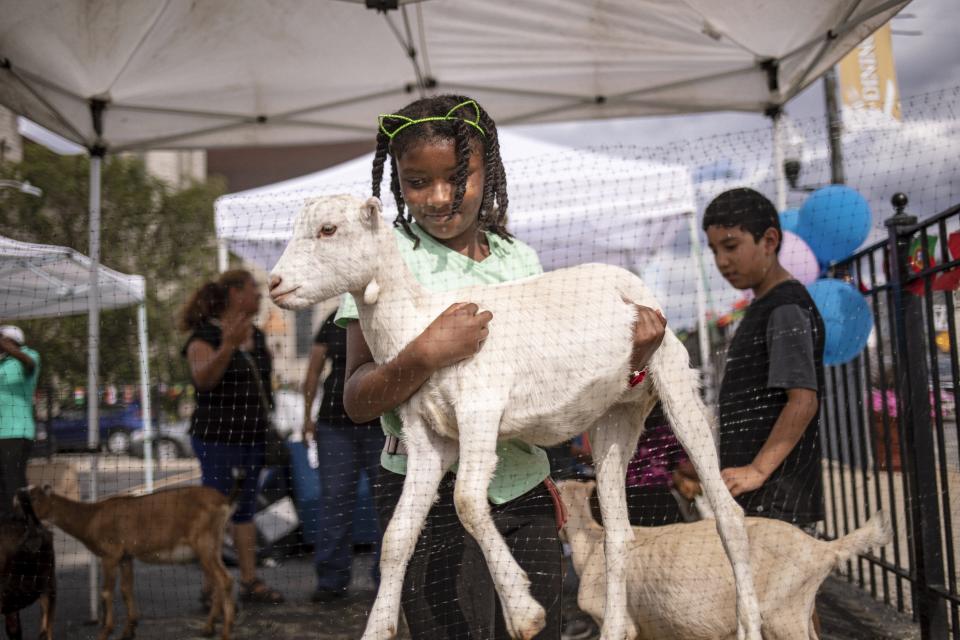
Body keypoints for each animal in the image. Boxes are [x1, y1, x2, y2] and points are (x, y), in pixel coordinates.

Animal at [26, 482, 238, 640]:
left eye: (35, 498)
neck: (91, 520)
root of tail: (225, 502)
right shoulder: (126, 556)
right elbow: (126, 589)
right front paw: (129, 630)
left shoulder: (110, 553)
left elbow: (106, 592)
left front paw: (105, 632)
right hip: (213, 546)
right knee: (219, 581)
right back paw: (208, 628)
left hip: (204, 543)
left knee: (225, 579)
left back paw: (225, 632)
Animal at [266, 195, 760, 640]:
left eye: (328, 229)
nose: (274, 283)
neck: (417, 320)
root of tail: (628, 280)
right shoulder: (427, 437)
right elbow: (397, 536)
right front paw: (378, 627)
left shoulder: (480, 408)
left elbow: (467, 500)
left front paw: (523, 611)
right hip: (616, 414)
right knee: (619, 533)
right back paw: (616, 627)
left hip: (674, 377)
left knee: (728, 514)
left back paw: (749, 624)